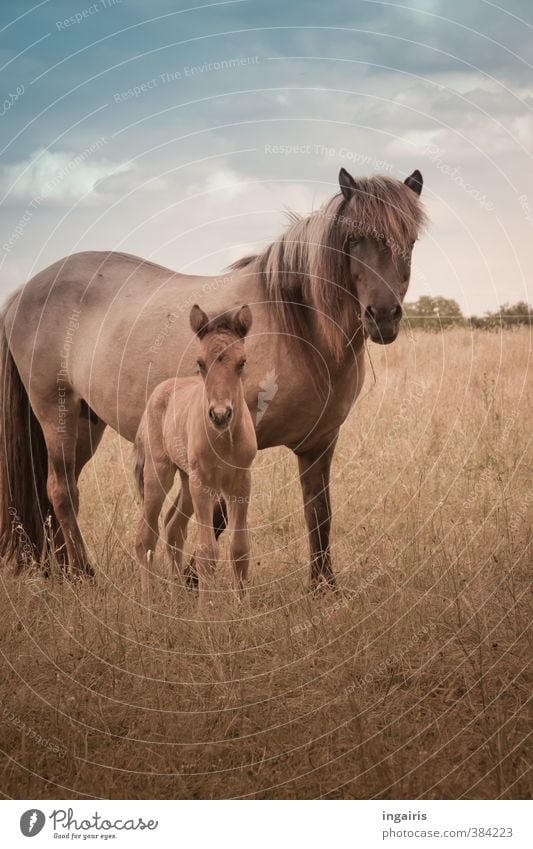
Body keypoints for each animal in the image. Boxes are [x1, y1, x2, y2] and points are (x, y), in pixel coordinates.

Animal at [0, 166, 424, 588]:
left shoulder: (319, 443)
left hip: (87, 422)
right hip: (56, 410)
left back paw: (62, 572)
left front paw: (324, 588)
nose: (383, 316)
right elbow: (216, 514)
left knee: (56, 489)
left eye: (411, 240)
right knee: (61, 489)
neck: (296, 324)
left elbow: (319, 513)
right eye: (354, 239)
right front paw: (191, 577)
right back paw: (84, 575)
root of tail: (25, 290)